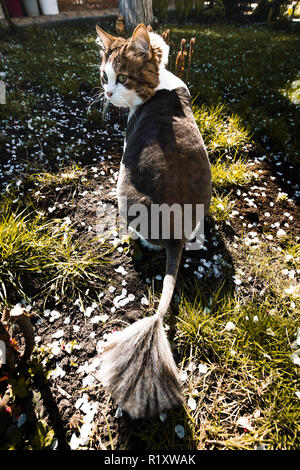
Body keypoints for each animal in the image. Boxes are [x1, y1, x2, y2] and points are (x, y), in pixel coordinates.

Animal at [95, 23, 211, 418]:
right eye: (104, 76)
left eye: (122, 78)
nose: (107, 93)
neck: (160, 84)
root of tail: (175, 234)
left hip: (123, 186)